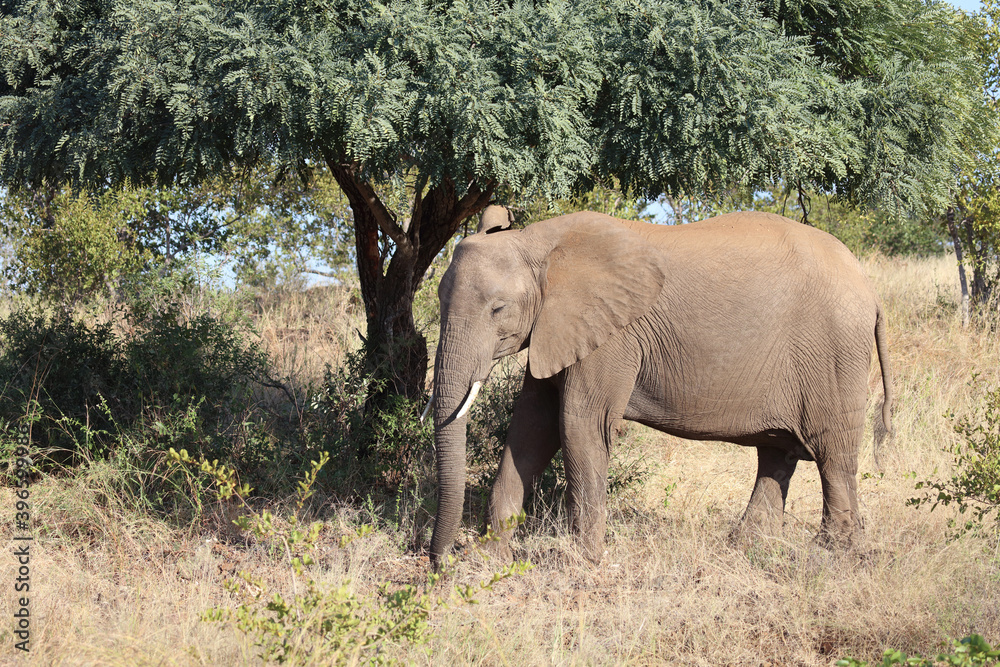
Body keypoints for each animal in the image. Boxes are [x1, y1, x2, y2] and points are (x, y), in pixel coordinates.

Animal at [426, 207, 892, 566]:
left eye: (498, 309)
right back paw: (747, 547)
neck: (538, 244)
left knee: (832, 455)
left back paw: (832, 553)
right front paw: (489, 560)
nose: (438, 562)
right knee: (777, 454)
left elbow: (579, 425)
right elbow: (531, 427)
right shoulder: (559, 330)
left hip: (833, 354)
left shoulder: (612, 335)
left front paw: (584, 563)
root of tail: (871, 290)